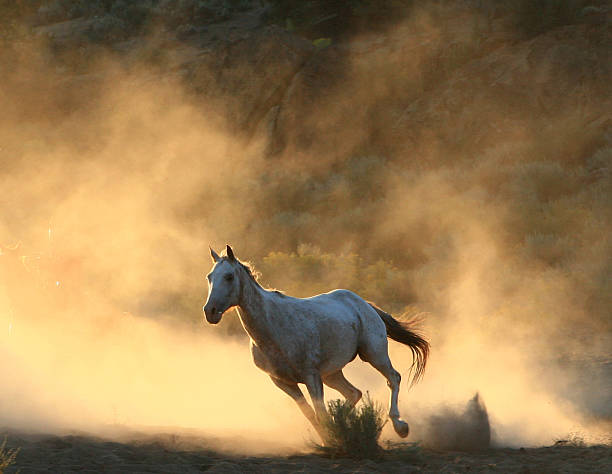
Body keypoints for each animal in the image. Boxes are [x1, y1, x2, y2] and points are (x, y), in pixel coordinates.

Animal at [203, 246, 428, 438]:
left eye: (229, 276)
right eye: (209, 277)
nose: (210, 311)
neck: (272, 328)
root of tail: (365, 304)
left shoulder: (311, 376)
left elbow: (320, 412)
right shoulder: (283, 381)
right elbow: (311, 414)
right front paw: (328, 439)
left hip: (374, 354)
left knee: (393, 378)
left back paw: (400, 426)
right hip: (332, 374)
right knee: (354, 393)